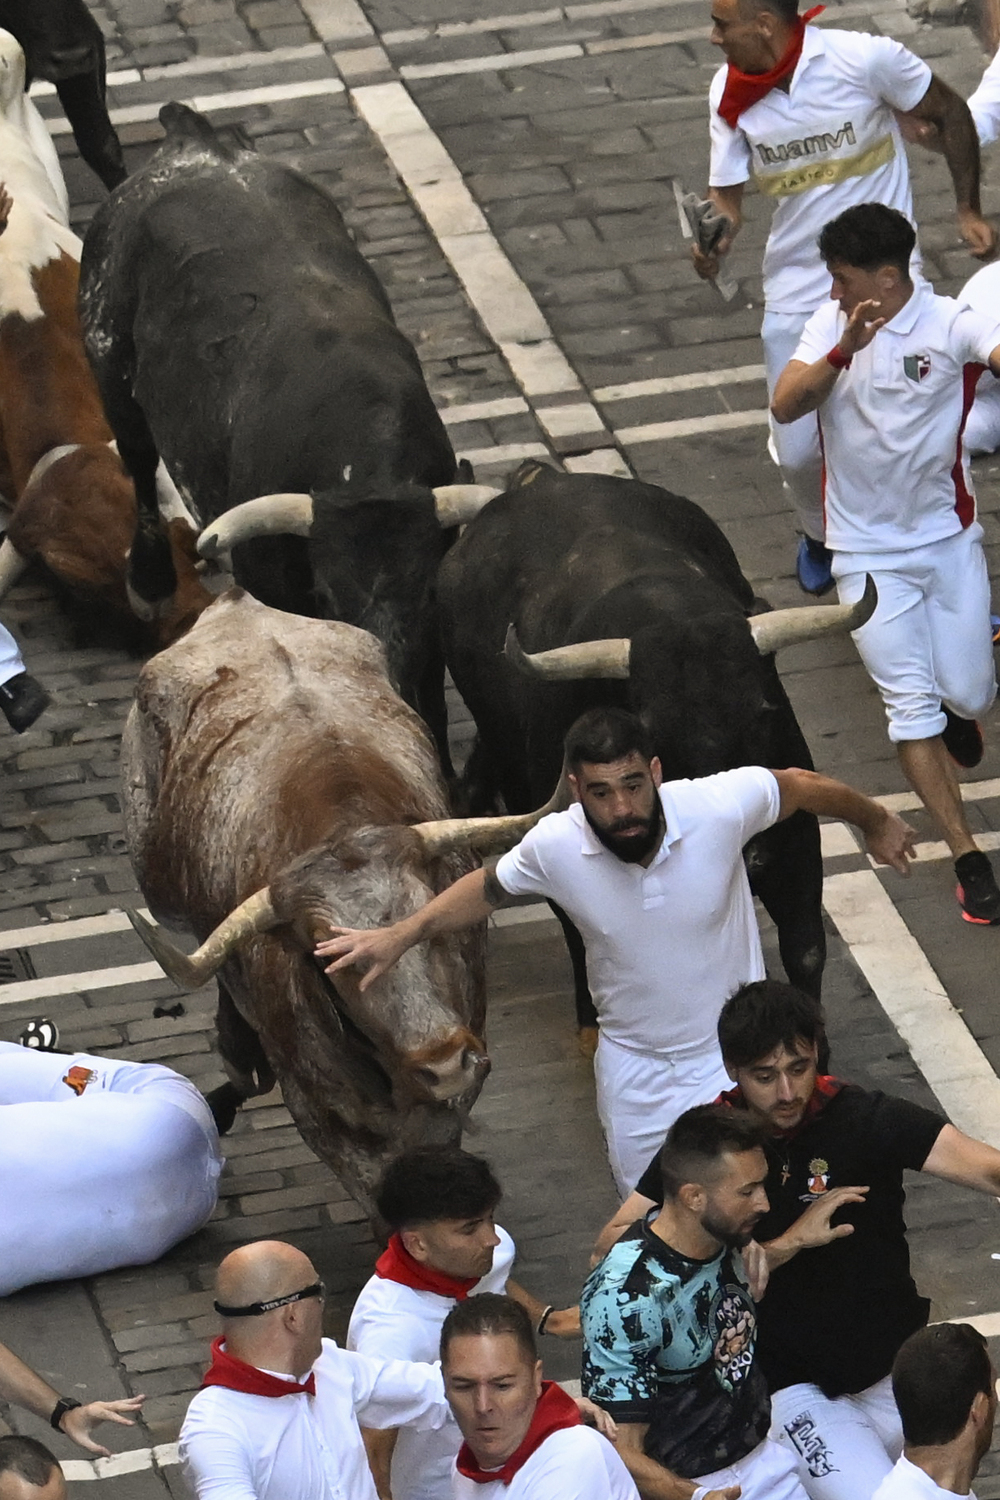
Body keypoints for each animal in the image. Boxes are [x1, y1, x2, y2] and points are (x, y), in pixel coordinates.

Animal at [124, 591, 548, 1212]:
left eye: (429, 917)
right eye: (328, 957)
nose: (444, 1063)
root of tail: (233, 601)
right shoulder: (322, 1106)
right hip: (162, 893)